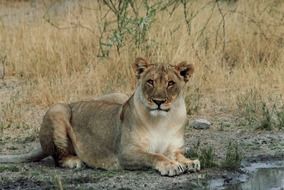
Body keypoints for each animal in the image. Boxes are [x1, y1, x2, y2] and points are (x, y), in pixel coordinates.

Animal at [0, 57, 200, 176]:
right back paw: (75, 162)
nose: (158, 101)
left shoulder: (173, 147)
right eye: (150, 82)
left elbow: (177, 154)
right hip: (57, 109)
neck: (162, 120)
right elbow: (155, 156)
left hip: (117, 95)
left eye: (171, 83)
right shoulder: (126, 152)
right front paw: (171, 166)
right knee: (58, 157)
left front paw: (189, 162)